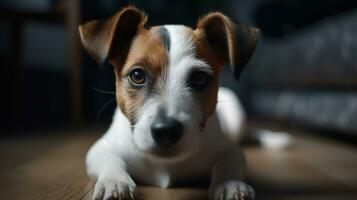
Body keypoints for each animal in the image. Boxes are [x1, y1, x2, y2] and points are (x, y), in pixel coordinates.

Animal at [78, 5, 258, 199]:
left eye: (200, 78)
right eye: (137, 75)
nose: (166, 130)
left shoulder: (231, 151)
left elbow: (227, 164)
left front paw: (230, 184)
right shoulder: (101, 148)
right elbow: (110, 160)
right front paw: (115, 181)